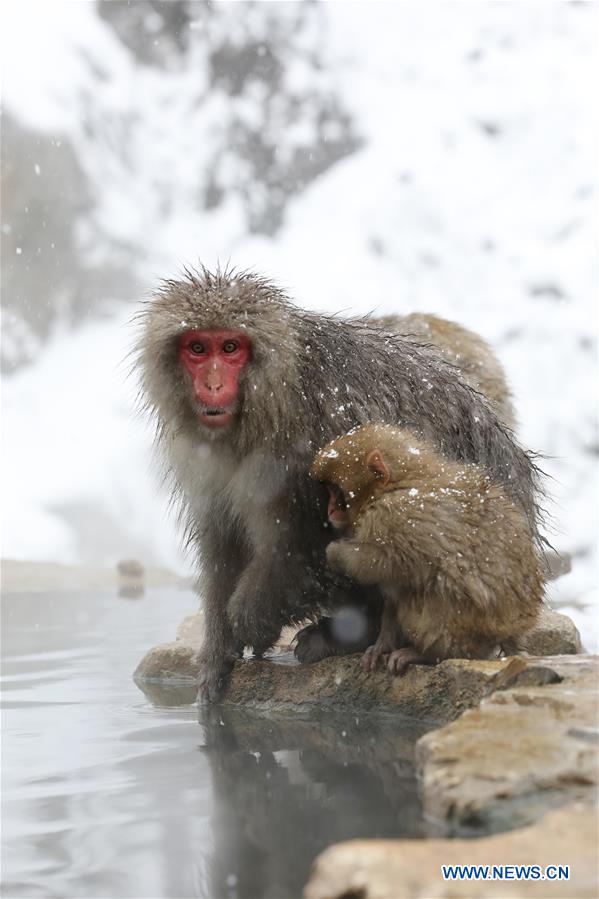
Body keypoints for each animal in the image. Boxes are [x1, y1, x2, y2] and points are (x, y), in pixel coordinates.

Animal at [312, 426, 548, 672]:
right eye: (329, 491)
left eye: (337, 493)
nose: (330, 510)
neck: (398, 483)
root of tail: (513, 629)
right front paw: (382, 645)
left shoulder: (395, 515)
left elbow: (391, 563)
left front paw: (336, 552)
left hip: (472, 625)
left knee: (426, 587)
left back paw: (429, 655)